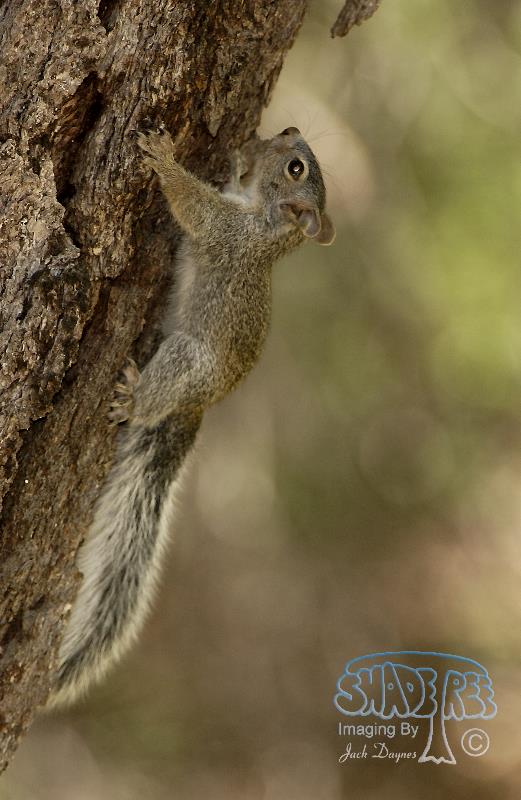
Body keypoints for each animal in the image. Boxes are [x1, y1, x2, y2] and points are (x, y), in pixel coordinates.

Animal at [49, 126, 335, 707]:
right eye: (295, 150)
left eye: (295, 168)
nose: (285, 130)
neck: (264, 223)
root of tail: (196, 408)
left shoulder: (225, 232)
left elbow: (192, 207)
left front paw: (164, 158)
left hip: (187, 360)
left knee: (156, 394)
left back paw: (132, 399)